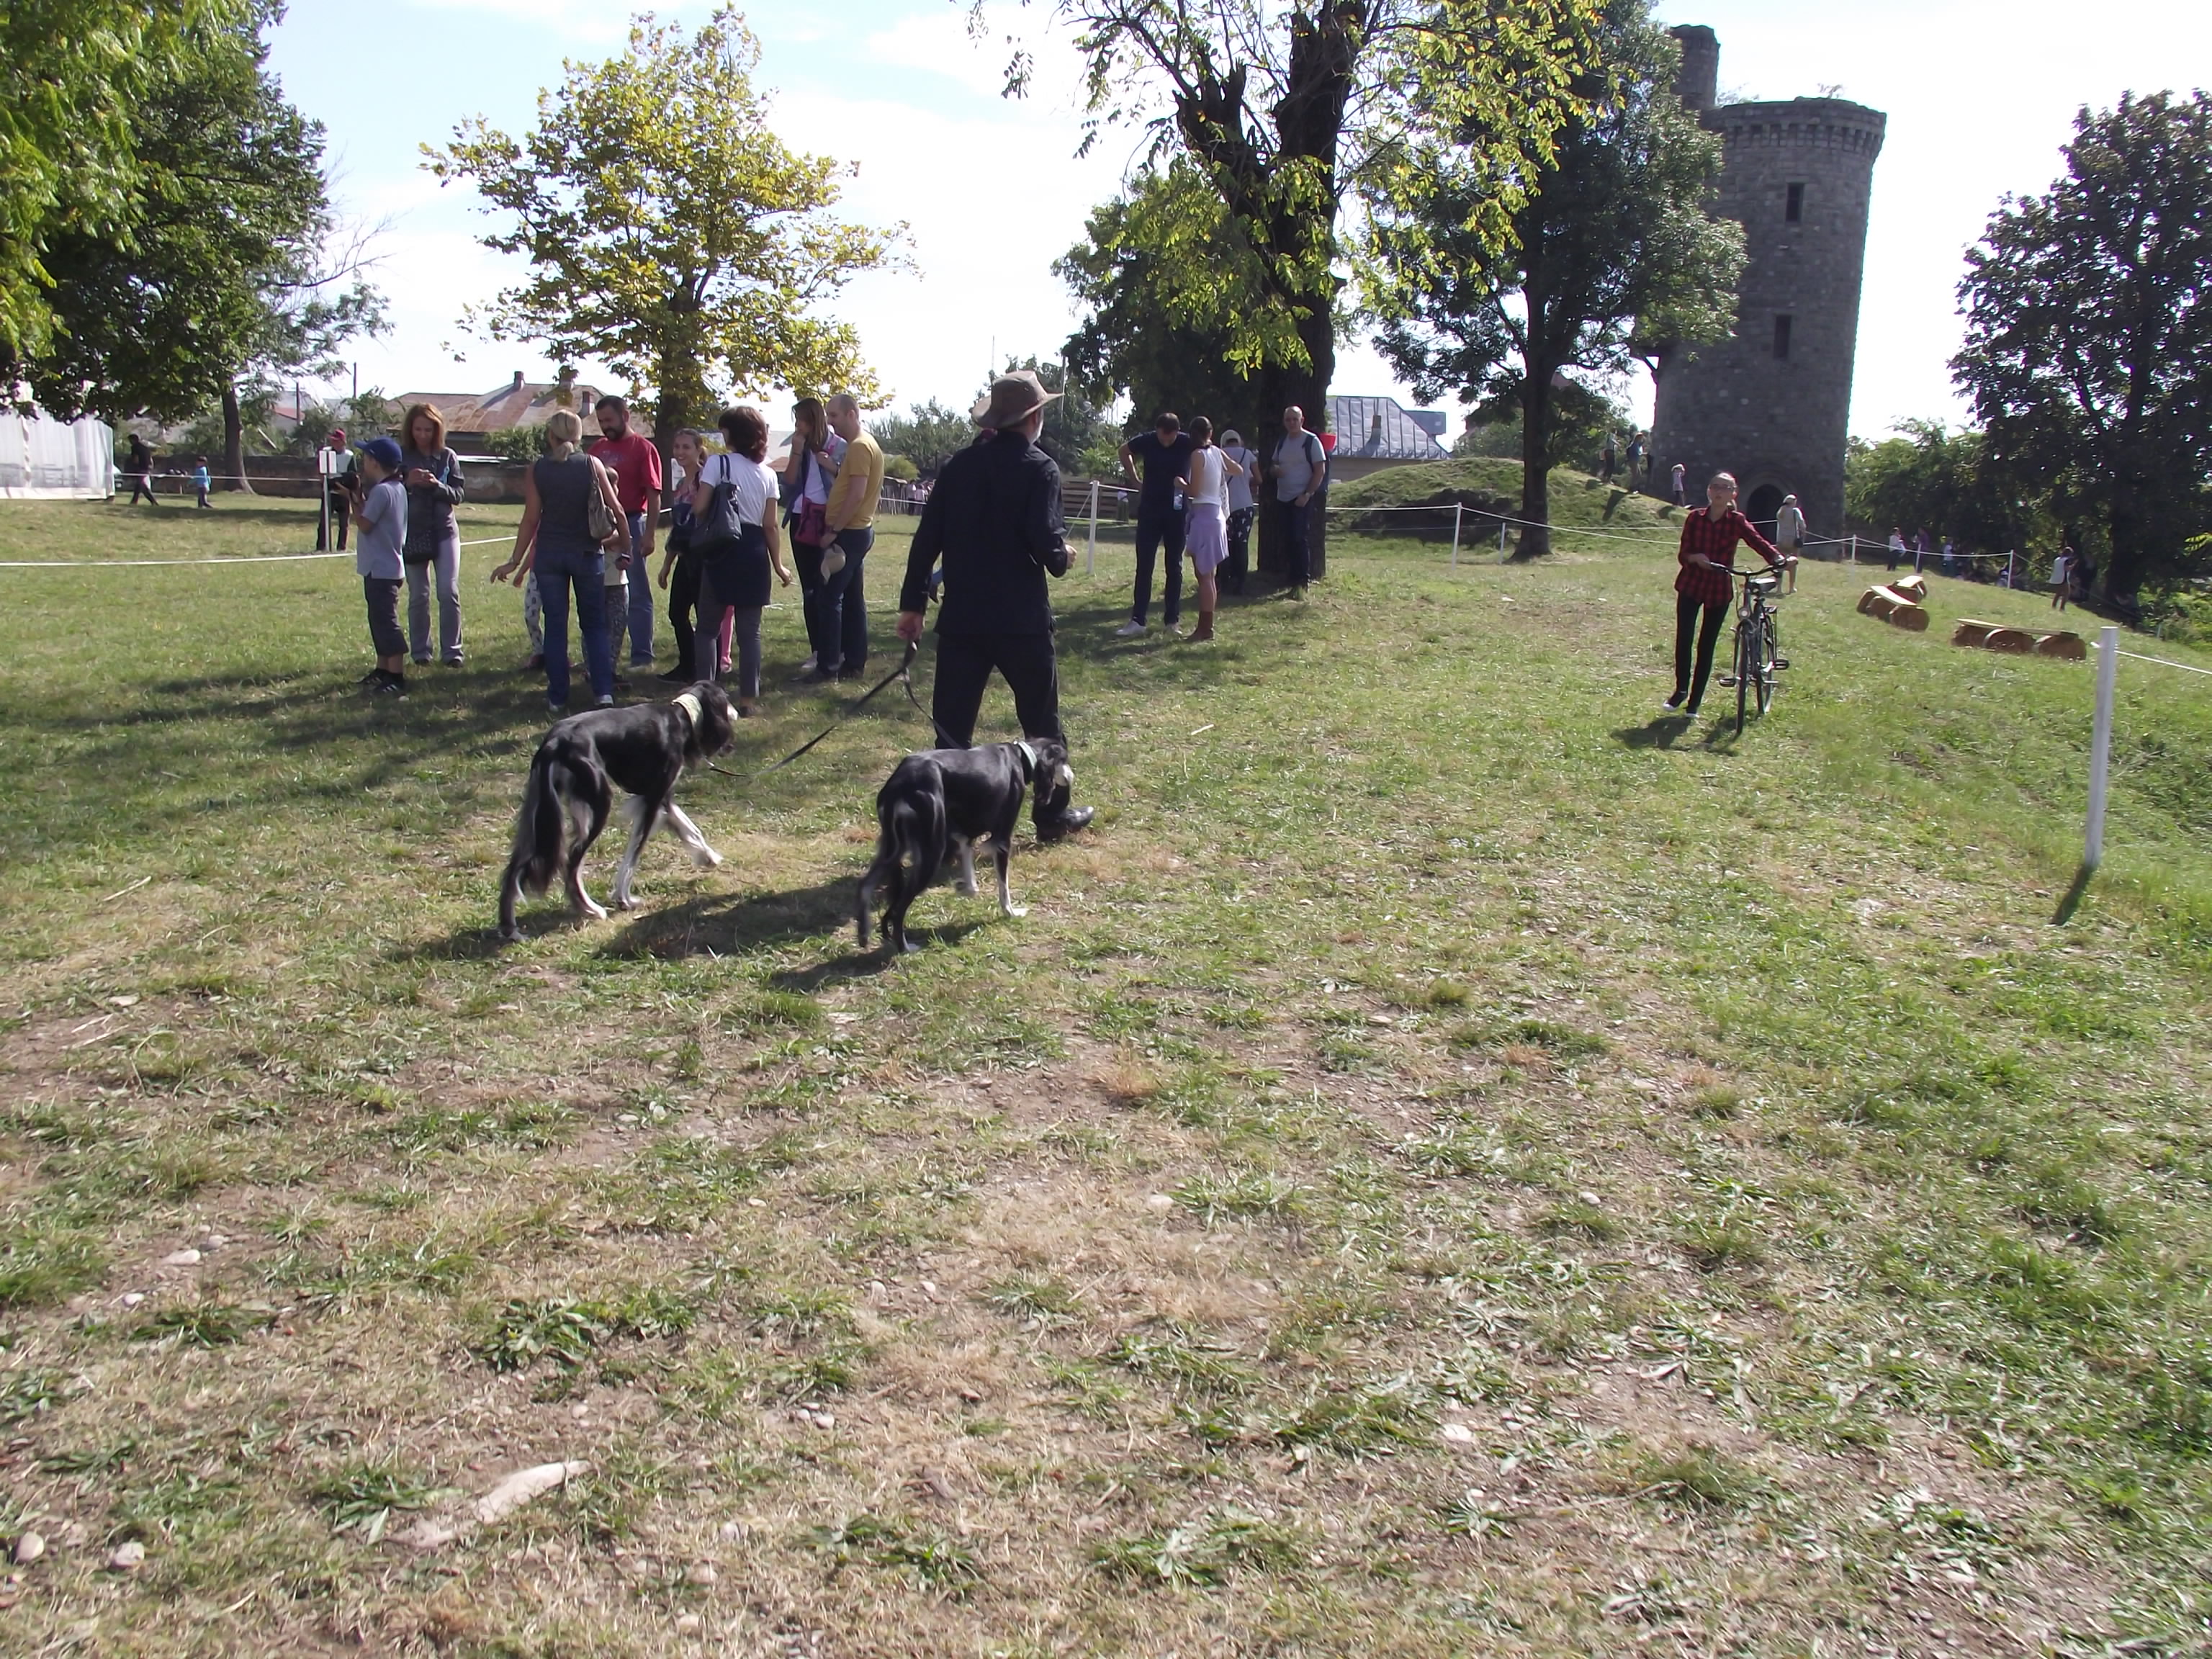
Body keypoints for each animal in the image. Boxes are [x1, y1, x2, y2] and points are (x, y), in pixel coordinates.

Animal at [500, 681, 734, 942]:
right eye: (726, 698)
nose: (737, 712)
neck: (680, 717)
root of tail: (555, 742)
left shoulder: (660, 797)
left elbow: (690, 829)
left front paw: (708, 856)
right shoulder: (653, 799)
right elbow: (633, 857)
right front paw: (624, 899)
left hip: (542, 813)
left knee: (515, 868)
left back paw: (511, 929)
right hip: (598, 805)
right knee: (571, 862)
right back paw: (590, 908)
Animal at [858, 743, 1074, 960]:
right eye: (1064, 759)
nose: (1071, 777)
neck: (1019, 756)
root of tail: (900, 784)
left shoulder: (966, 834)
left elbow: (972, 879)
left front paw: (964, 888)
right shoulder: (1002, 840)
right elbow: (1003, 887)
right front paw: (1011, 913)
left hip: (894, 849)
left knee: (867, 887)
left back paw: (867, 934)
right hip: (931, 852)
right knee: (900, 907)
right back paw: (905, 947)